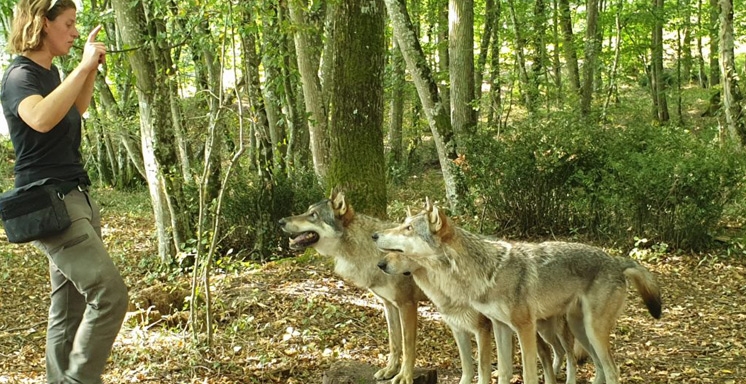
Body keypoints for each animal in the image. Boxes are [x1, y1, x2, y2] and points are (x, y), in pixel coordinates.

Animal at [276, 192, 492, 384]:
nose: (281, 221)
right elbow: (394, 342)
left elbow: (407, 345)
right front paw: (390, 371)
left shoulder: (407, 305)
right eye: (307, 211)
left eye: (313, 215)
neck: (368, 252)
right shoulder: (388, 304)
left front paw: (404, 376)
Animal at [374, 201, 660, 384]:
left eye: (408, 228)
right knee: (596, 366)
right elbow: (502, 372)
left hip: (590, 331)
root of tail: (616, 261)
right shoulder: (499, 326)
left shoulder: (521, 328)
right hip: (579, 329)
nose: (375, 236)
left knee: (610, 370)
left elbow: (527, 374)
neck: (484, 274)